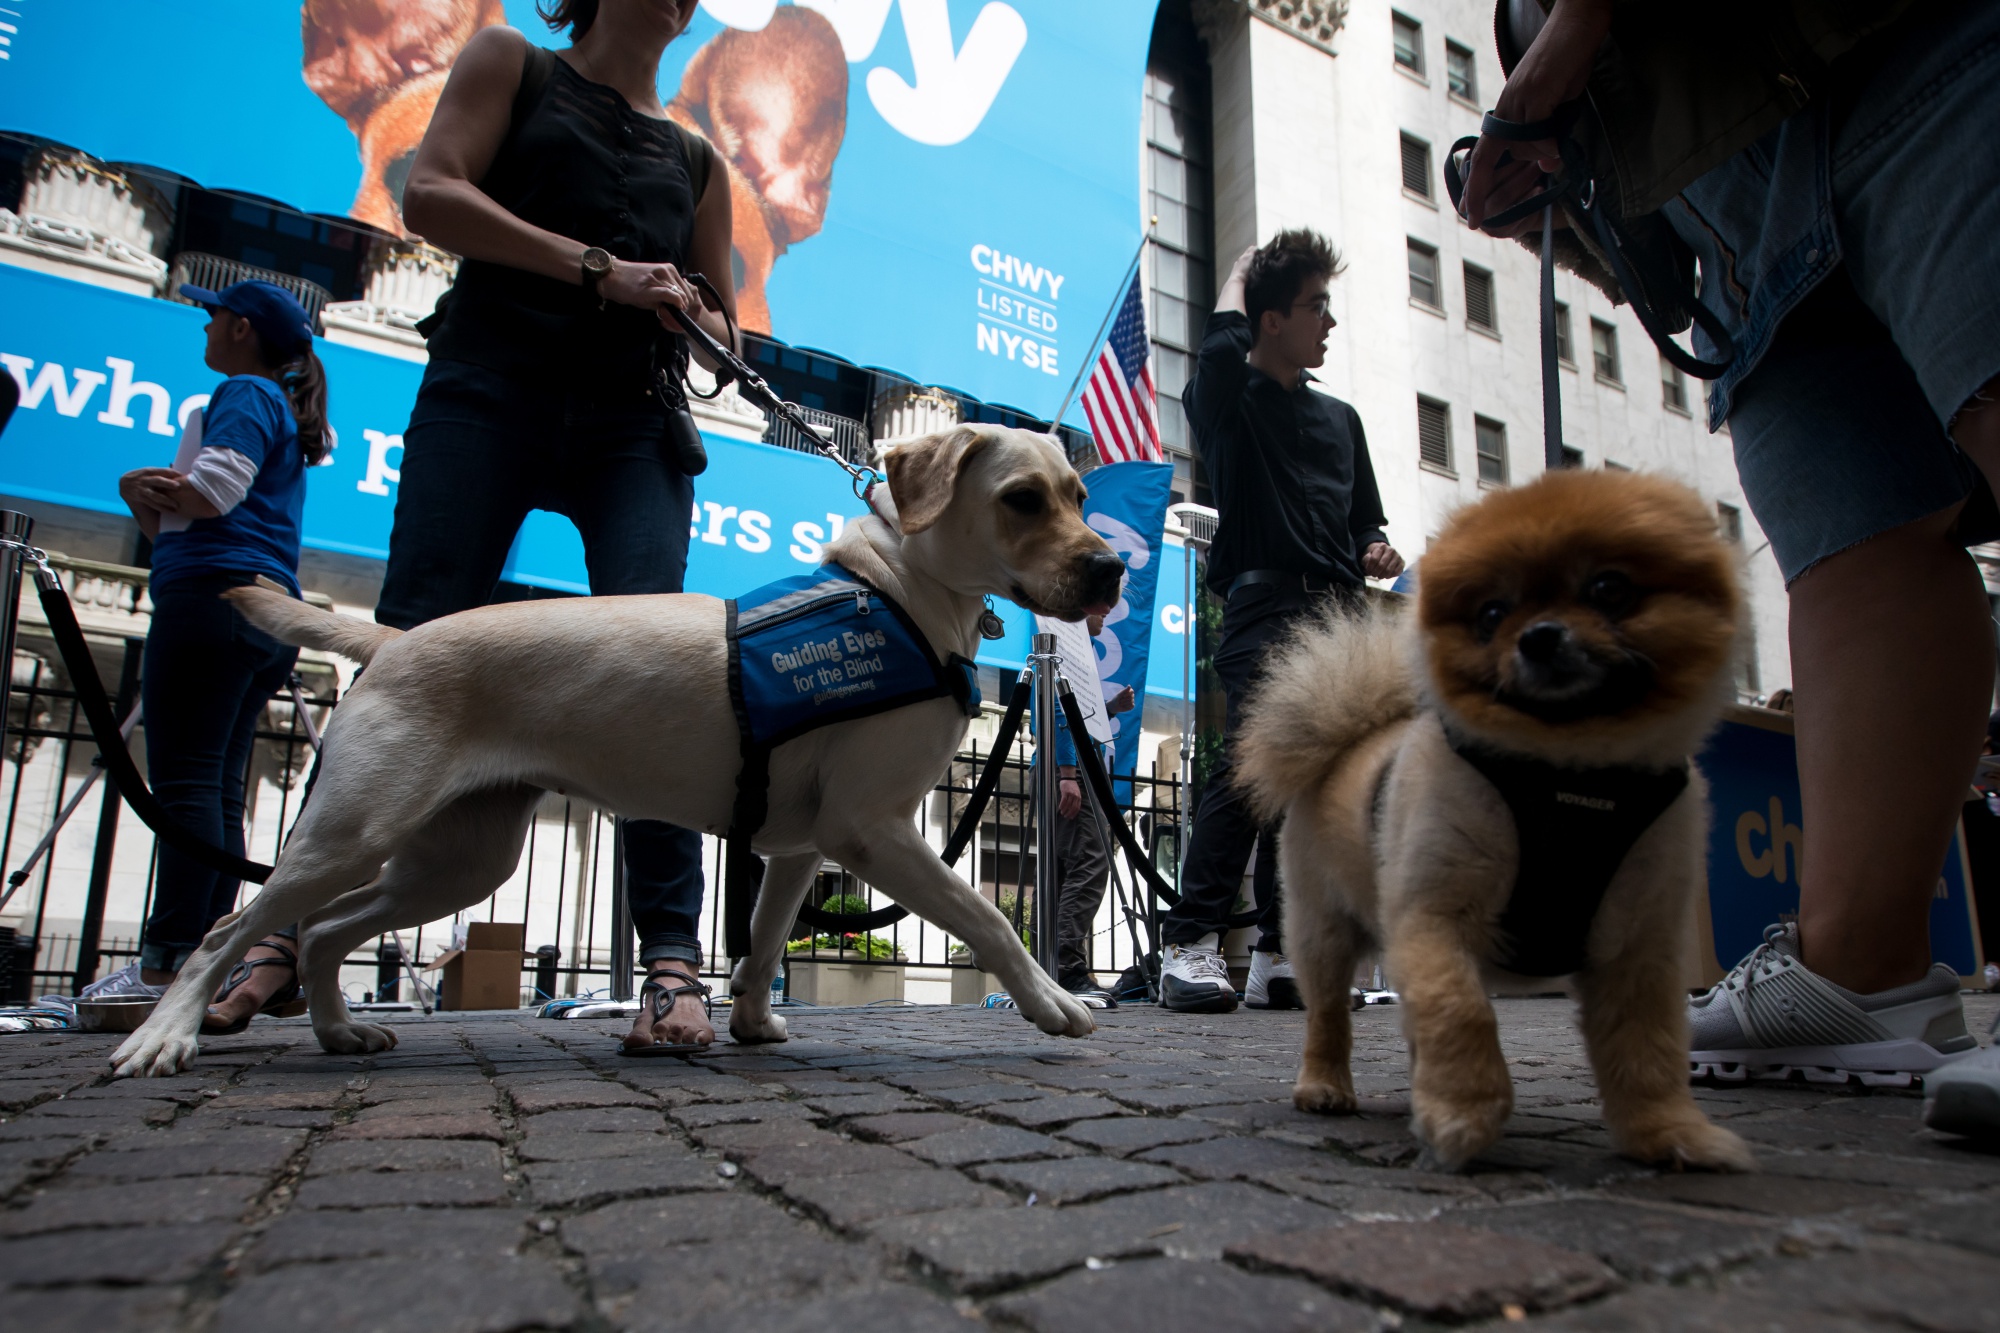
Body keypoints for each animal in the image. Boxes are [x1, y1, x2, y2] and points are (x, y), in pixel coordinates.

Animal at [113, 428, 1128, 1080]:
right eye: (1022, 500)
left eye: (1081, 497)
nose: (1113, 569)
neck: (900, 592)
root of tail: (390, 640)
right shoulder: (874, 831)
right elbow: (991, 919)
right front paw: (1054, 1003)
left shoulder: (803, 848)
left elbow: (763, 941)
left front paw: (751, 1021)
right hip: (352, 832)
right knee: (225, 930)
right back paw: (163, 1038)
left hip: (458, 860)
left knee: (325, 931)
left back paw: (336, 1034)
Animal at [1232, 464, 1752, 1160]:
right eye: (1492, 614)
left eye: (1610, 588)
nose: (1540, 635)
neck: (1566, 773)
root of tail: (1351, 739)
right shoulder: (1435, 916)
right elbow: (1463, 1012)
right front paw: (1466, 1115)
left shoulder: (1639, 950)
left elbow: (1649, 1047)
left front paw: (1667, 1131)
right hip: (1324, 930)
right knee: (1330, 1015)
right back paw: (1325, 1087)